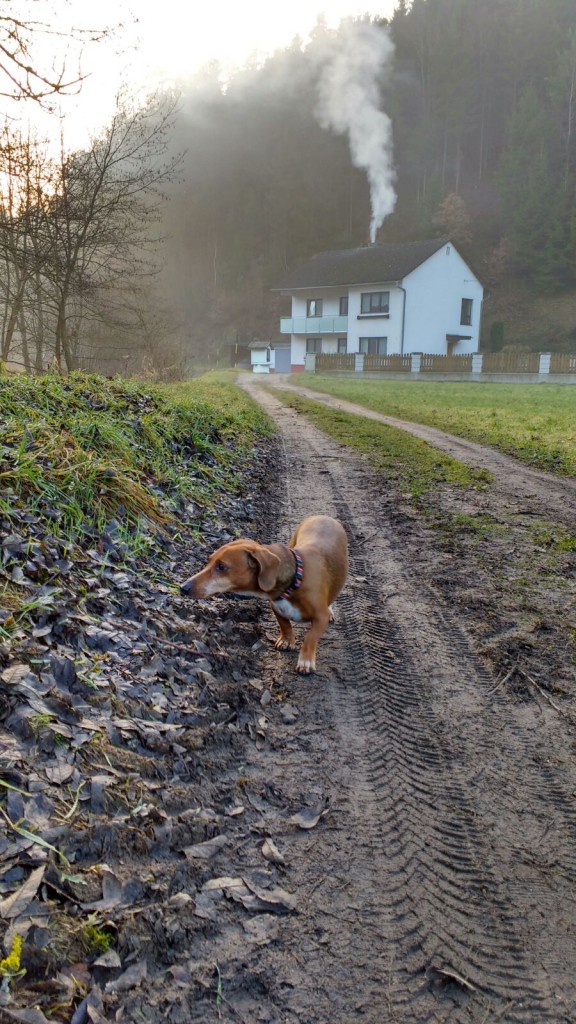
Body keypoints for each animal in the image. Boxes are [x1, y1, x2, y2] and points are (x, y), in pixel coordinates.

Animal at [181, 516, 348, 675]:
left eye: (221, 567)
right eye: (209, 560)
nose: (183, 587)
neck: (294, 581)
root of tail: (323, 516)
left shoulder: (320, 617)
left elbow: (310, 637)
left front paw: (305, 661)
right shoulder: (276, 606)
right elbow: (284, 624)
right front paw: (287, 640)